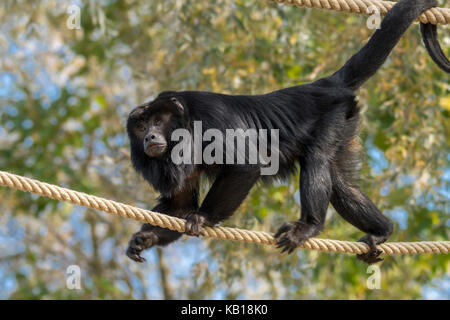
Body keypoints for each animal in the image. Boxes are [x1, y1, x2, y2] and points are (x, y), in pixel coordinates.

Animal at [125, 0, 448, 264]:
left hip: (334, 113)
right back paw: (382, 230)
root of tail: (324, 84)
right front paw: (145, 238)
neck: (186, 120)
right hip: (346, 120)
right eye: (141, 126)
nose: (149, 137)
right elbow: (179, 204)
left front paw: (202, 218)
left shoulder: (211, 119)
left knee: (317, 159)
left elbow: (246, 165)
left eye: (158, 121)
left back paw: (309, 226)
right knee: (341, 183)